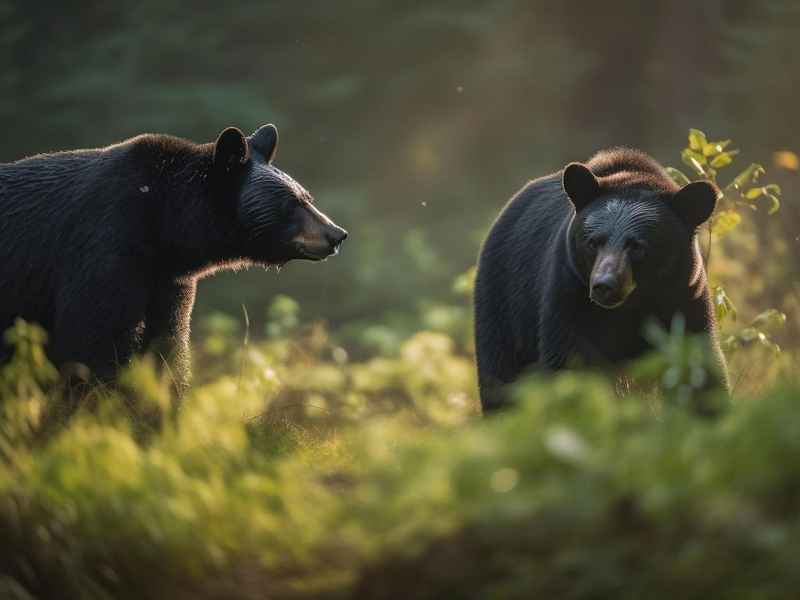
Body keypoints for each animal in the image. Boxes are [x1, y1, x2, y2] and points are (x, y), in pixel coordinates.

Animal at [0, 124, 347, 390]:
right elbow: (93, 340)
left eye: (307, 197)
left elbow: (168, 343)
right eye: (292, 203)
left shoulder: (167, 280)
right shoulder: (103, 246)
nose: (337, 234)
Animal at [474, 148, 728, 412]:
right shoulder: (569, 297)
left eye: (637, 246)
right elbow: (568, 364)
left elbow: (698, 366)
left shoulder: (684, 296)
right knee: (500, 375)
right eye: (593, 242)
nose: (604, 285)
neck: (632, 307)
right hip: (504, 304)